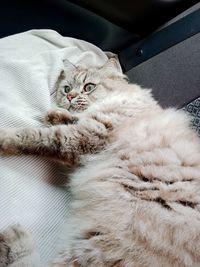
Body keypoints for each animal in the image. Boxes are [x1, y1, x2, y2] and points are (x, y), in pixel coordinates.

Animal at [0, 59, 200, 267]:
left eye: (88, 87)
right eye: (67, 88)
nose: (70, 96)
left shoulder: (87, 135)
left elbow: (36, 136)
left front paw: (5, 137)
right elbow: (70, 119)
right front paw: (54, 114)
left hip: (96, 248)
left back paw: (13, 238)